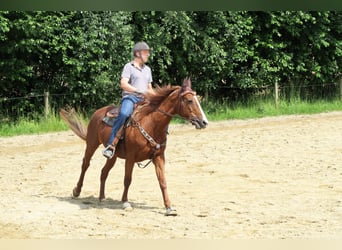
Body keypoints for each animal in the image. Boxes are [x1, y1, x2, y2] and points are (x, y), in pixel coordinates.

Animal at [59, 77, 207, 216]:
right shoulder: (130, 158)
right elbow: (127, 180)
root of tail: (98, 112)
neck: (151, 123)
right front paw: (125, 202)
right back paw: (77, 191)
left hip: (113, 156)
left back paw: (101, 198)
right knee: (85, 164)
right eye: (189, 100)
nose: (204, 122)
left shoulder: (159, 157)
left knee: (104, 171)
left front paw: (169, 207)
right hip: (91, 143)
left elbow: (162, 181)